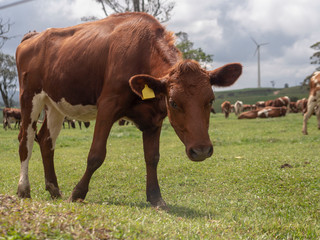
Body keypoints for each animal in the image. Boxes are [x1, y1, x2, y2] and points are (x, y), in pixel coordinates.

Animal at [14, 12, 240, 208]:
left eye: (210, 100)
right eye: (174, 102)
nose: (201, 150)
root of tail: (34, 35)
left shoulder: (154, 120)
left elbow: (152, 157)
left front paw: (155, 198)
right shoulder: (107, 105)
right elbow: (96, 154)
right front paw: (77, 193)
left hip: (55, 103)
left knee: (46, 140)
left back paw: (54, 189)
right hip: (29, 96)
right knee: (26, 139)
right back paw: (24, 189)